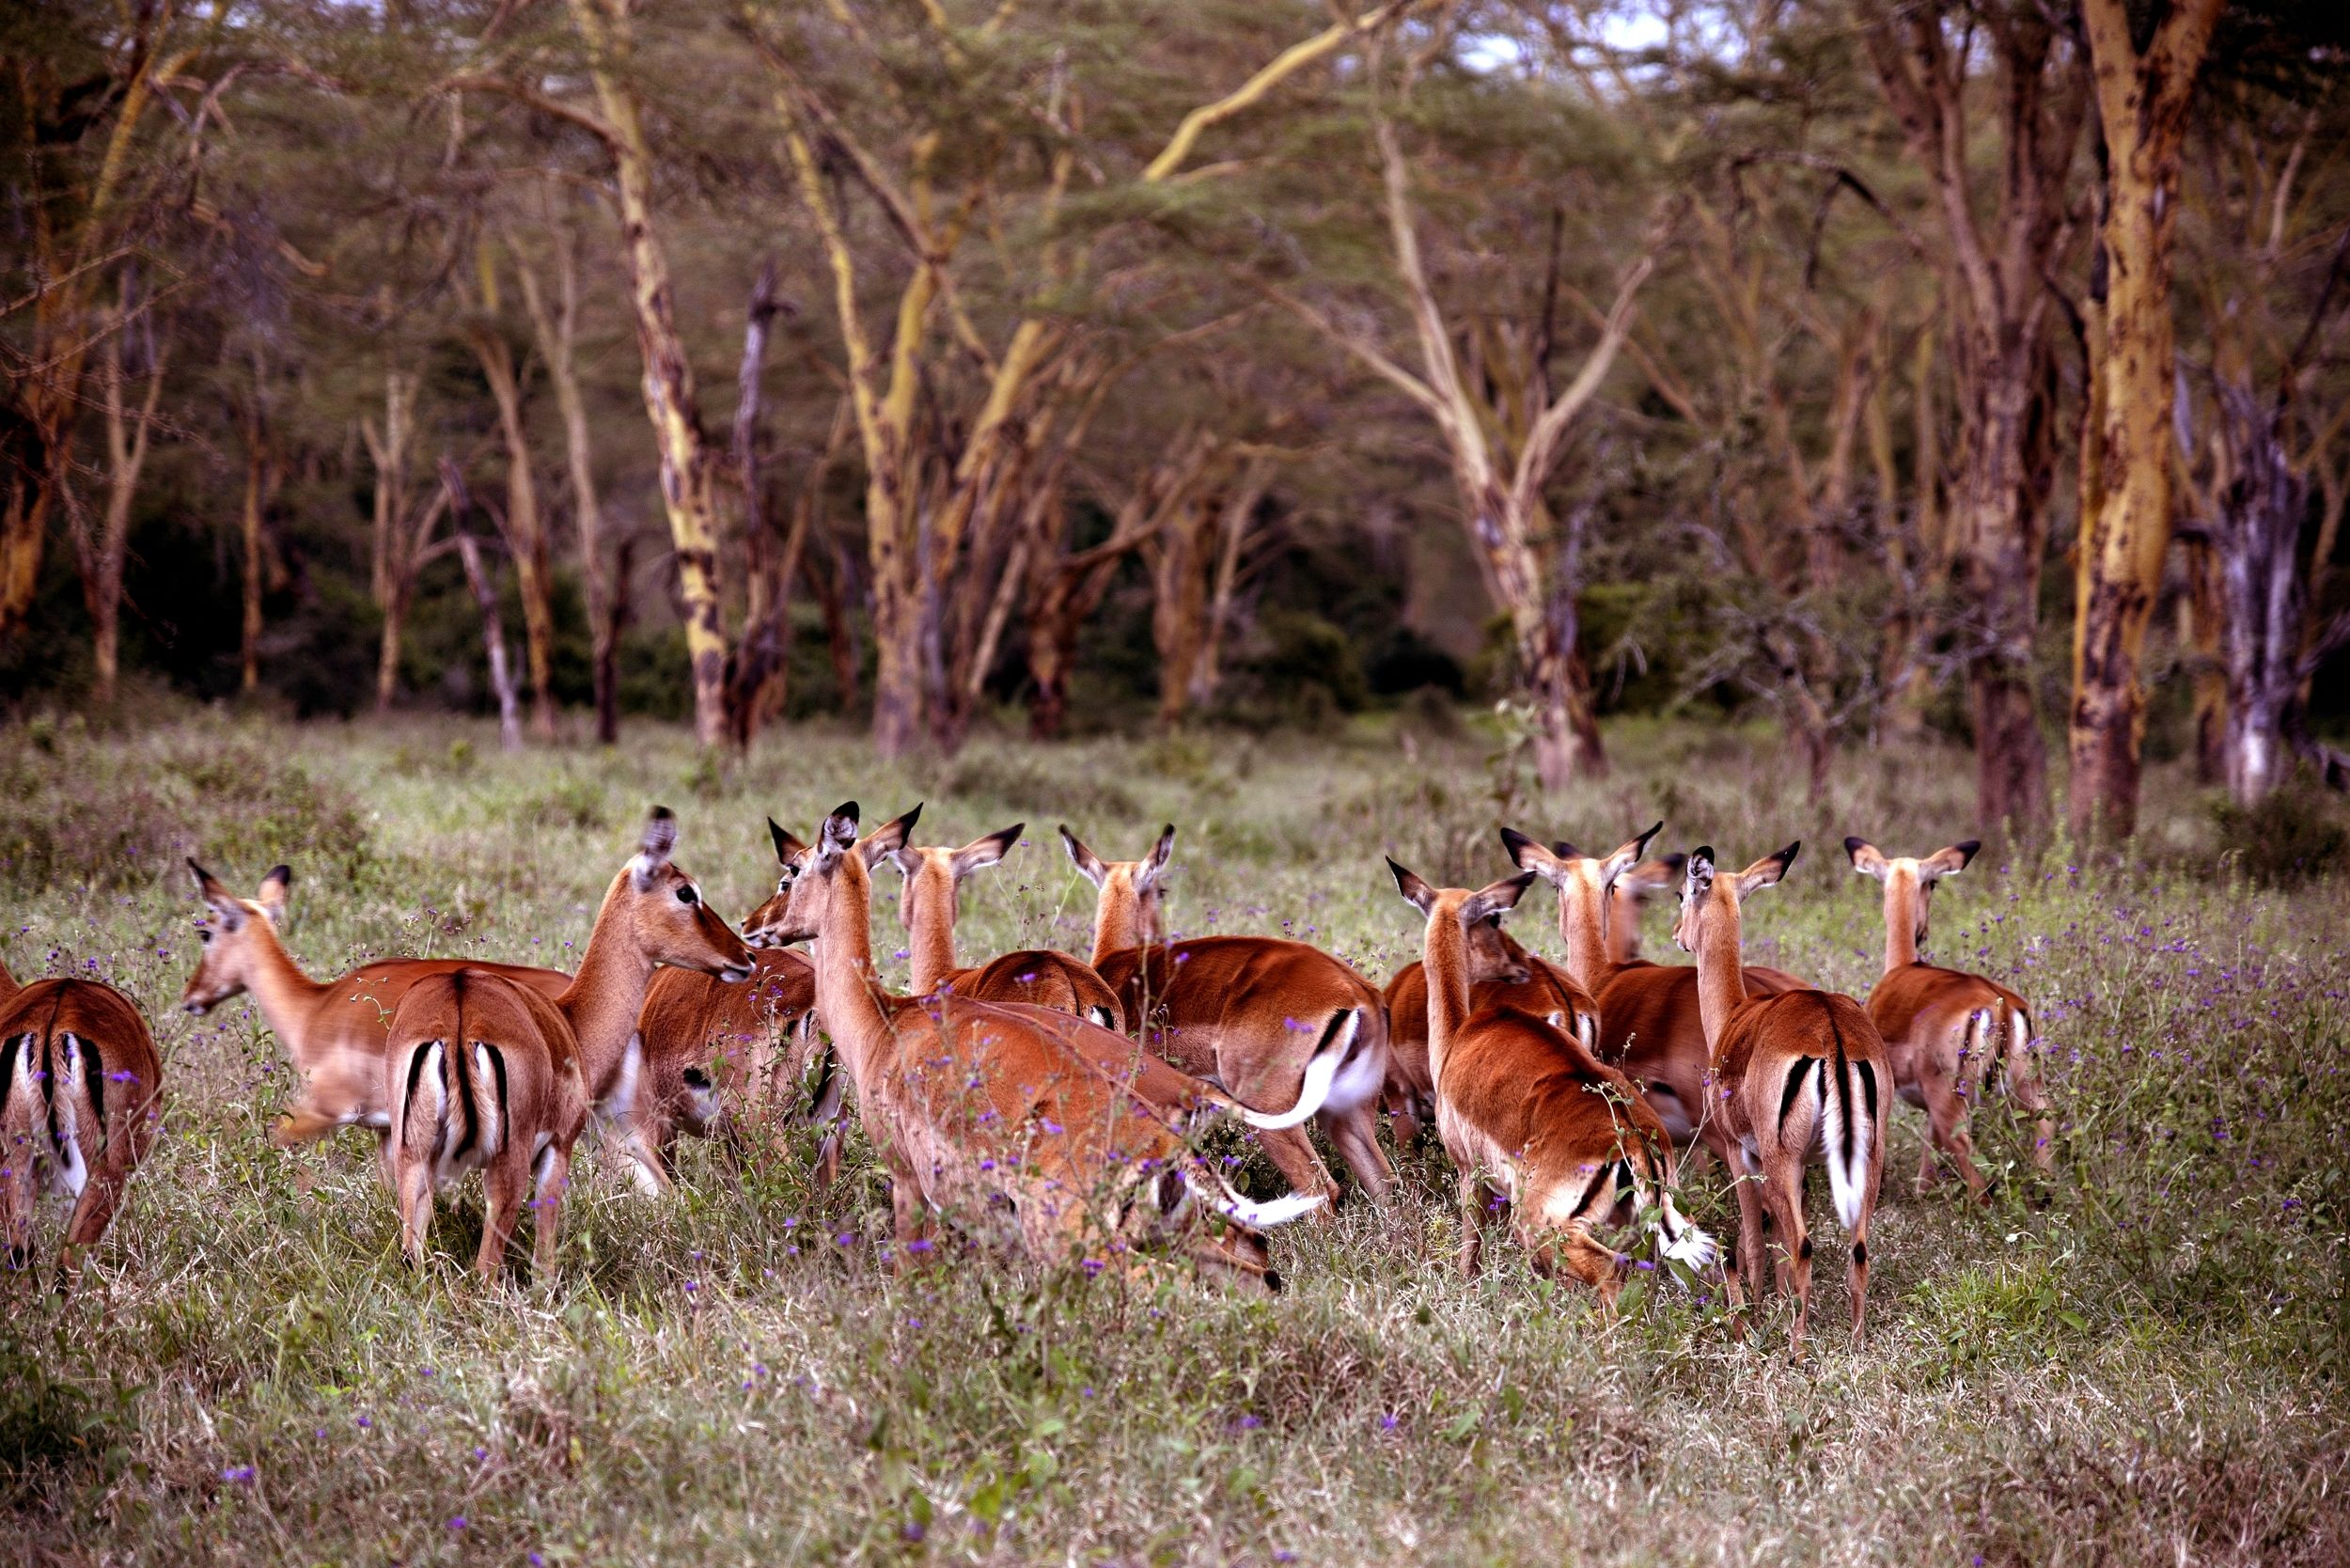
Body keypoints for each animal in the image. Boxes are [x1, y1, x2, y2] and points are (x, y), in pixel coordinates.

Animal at [1059, 824, 1391, 1207]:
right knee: (1386, 1184)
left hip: (1271, 1112)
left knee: (1321, 1189)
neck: (1117, 962)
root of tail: (1356, 991)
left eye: (1161, 889)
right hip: (1346, 1110)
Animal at [1385, 859, 1714, 1298]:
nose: (1521, 962)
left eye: (1495, 916)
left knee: (1610, 1270)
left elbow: (1471, 1253)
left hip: (1543, 1226)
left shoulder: (1470, 1174)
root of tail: (1632, 1137)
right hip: (1645, 1222)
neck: (1459, 1039)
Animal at [1672, 844, 1888, 1349]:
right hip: (1869, 1157)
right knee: (1858, 1251)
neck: (1734, 1015)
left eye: (1682, 895)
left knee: (1802, 1245)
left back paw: (1795, 1350)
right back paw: (1854, 1343)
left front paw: (1752, 1308)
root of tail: (1832, 1034)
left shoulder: (1739, 1151)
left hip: (1779, 1159)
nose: (1677, 936)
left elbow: (1756, 1240)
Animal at [1845, 837, 2053, 1196]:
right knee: (2046, 1128)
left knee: (1974, 1168)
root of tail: (1999, 1004)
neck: (1902, 968)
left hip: (1953, 1099)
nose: (1922, 932)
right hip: (2026, 1087)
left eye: (1933, 883)